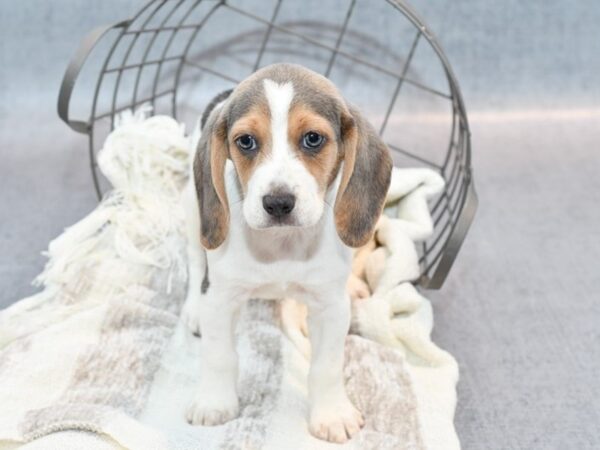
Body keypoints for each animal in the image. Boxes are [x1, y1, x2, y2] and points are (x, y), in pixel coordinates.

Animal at [180, 63, 392, 442]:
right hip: (193, 210)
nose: (278, 203)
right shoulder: (221, 299)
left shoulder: (331, 307)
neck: (282, 246)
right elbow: (219, 355)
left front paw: (332, 414)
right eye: (245, 141)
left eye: (313, 138)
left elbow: (326, 366)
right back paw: (193, 308)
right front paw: (214, 403)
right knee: (194, 258)